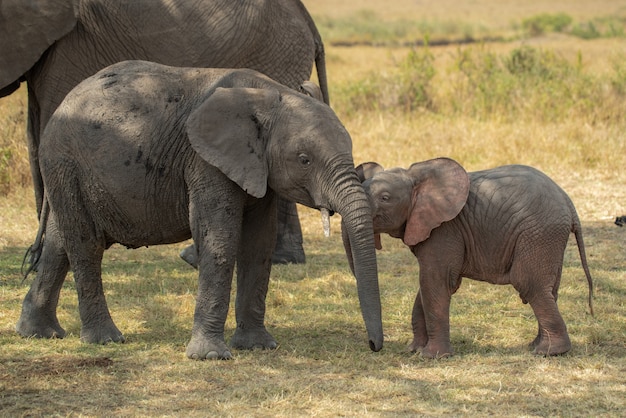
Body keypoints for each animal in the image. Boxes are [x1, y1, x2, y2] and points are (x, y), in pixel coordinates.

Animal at [1, 0, 326, 264]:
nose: (30, 256)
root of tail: (308, 19)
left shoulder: (72, 44)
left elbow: (51, 120)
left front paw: (44, 256)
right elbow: (35, 135)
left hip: (275, 54)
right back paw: (282, 258)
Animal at [15, 61, 386, 360]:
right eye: (305, 160)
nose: (373, 346)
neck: (269, 94)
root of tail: (62, 105)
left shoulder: (258, 168)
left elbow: (259, 245)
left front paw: (258, 347)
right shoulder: (205, 161)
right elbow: (219, 238)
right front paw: (210, 357)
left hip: (69, 171)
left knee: (59, 244)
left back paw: (38, 333)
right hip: (64, 160)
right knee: (85, 243)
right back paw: (105, 340)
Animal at [344, 158, 592, 358]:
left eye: (385, 198)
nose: (374, 346)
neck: (415, 177)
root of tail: (569, 203)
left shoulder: (445, 229)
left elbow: (436, 281)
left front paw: (432, 357)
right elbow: (428, 286)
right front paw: (414, 350)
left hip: (538, 233)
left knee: (529, 284)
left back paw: (549, 352)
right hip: (548, 237)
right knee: (549, 289)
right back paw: (535, 346)